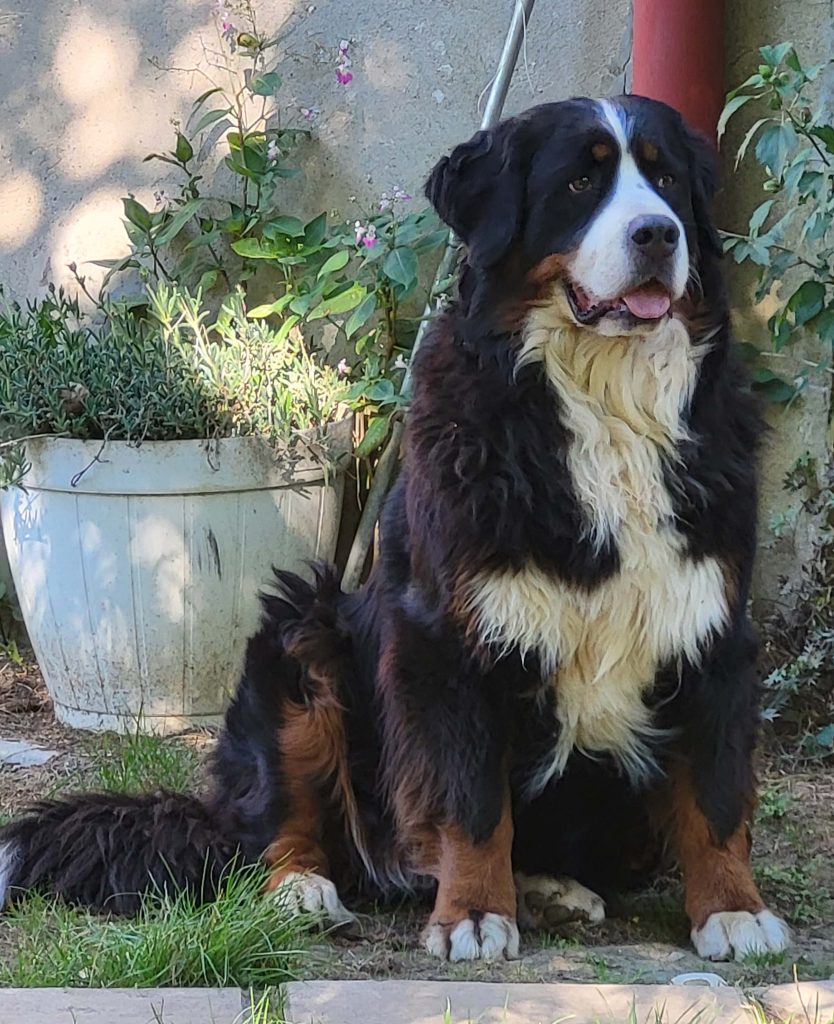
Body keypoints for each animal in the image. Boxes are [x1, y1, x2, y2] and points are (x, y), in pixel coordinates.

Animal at [0, 96, 791, 963]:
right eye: (581, 182)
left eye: (668, 179)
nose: (658, 234)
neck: (603, 406)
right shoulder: (445, 638)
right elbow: (472, 801)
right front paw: (473, 914)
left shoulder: (711, 623)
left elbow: (716, 798)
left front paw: (733, 911)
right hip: (301, 637)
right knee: (280, 830)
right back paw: (304, 891)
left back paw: (548, 889)